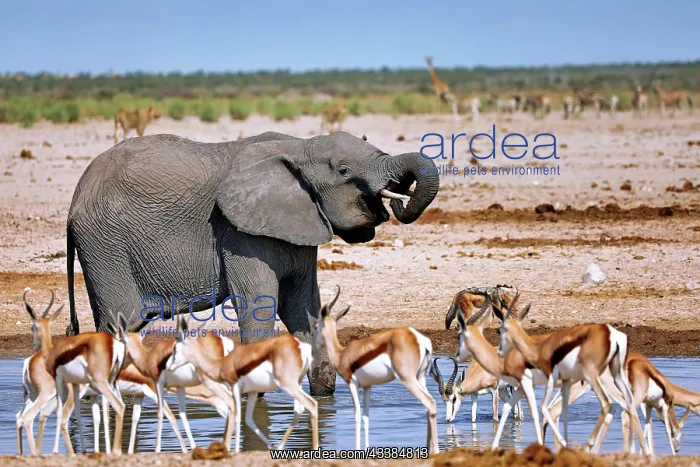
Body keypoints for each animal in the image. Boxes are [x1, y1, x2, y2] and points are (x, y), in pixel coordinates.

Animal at [65, 130, 439, 395]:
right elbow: (259, 308)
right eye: (344, 170)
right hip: (106, 242)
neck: (300, 147)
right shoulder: (239, 233)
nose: (397, 194)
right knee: (122, 322)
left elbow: (303, 309)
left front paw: (322, 397)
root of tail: (75, 196)